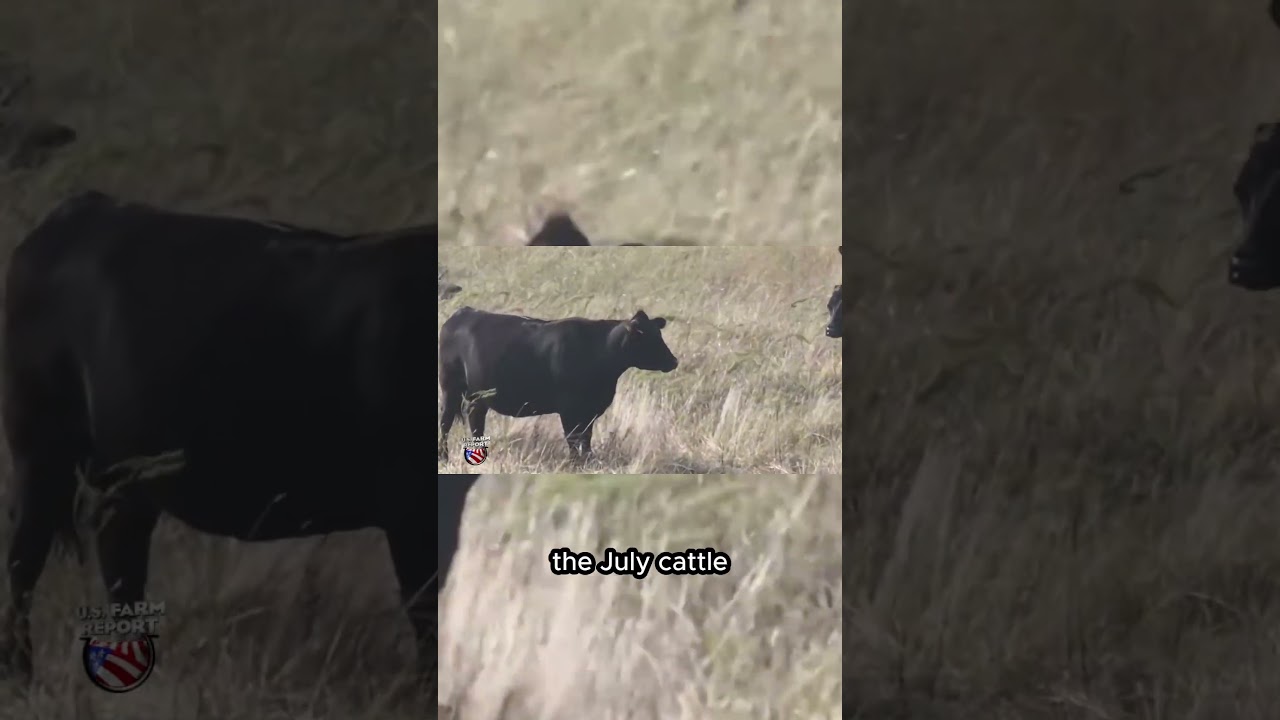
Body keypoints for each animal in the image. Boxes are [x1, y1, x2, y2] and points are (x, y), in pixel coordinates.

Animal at [0, 191, 436, 682]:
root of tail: (84, 208)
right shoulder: (411, 511)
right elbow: (428, 620)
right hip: (40, 451)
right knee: (25, 560)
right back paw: (21, 673)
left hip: (125, 477)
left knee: (119, 564)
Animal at [438, 307, 678, 461]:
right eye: (649, 338)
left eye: (659, 334)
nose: (674, 361)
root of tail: (462, 313)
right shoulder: (569, 408)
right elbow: (572, 438)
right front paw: (575, 463)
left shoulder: (591, 409)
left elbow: (586, 438)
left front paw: (588, 461)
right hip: (450, 388)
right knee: (446, 422)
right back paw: (444, 457)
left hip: (477, 396)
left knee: (475, 420)